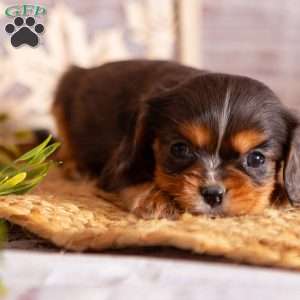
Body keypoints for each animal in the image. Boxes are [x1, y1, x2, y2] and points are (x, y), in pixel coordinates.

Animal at [52, 59, 300, 219]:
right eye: (180, 149)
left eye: (257, 159)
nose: (213, 194)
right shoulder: (115, 170)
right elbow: (134, 181)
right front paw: (156, 200)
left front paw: (283, 194)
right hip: (63, 91)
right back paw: (75, 167)